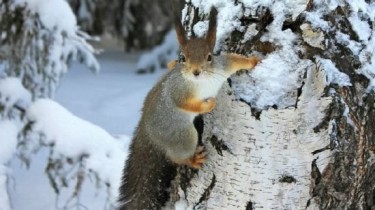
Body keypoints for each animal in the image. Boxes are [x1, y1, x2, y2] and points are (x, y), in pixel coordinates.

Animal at [119, 6, 260, 210]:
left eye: (209, 57)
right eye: (183, 58)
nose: (196, 71)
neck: (203, 82)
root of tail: (147, 130)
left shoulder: (222, 66)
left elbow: (235, 61)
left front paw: (254, 61)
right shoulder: (178, 92)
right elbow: (185, 104)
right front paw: (208, 104)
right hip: (182, 135)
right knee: (177, 156)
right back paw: (192, 159)